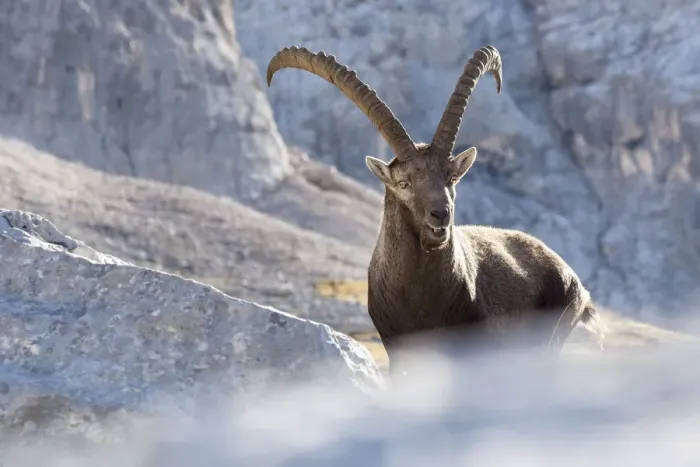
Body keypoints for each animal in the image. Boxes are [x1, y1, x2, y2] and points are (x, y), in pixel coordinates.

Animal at [267, 45, 601, 374]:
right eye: (403, 183)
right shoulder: (397, 350)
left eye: (451, 178)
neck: (421, 298)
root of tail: (573, 279)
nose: (441, 215)